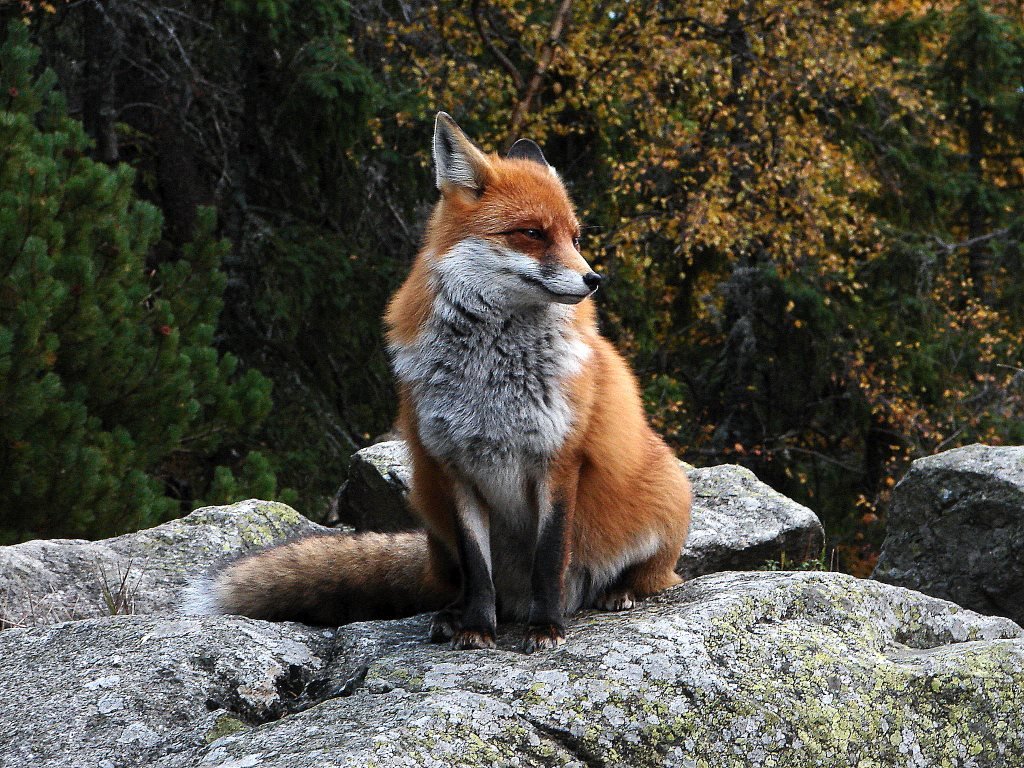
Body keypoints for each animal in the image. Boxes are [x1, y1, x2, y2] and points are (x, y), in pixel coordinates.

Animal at [186, 115, 696, 655]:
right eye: (532, 234)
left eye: (575, 239)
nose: (594, 279)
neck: (492, 372)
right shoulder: (454, 467)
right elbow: (479, 569)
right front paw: (476, 626)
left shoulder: (558, 461)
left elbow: (548, 559)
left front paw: (545, 627)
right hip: (431, 511)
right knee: (462, 584)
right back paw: (455, 613)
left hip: (665, 494)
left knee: (657, 576)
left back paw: (617, 591)